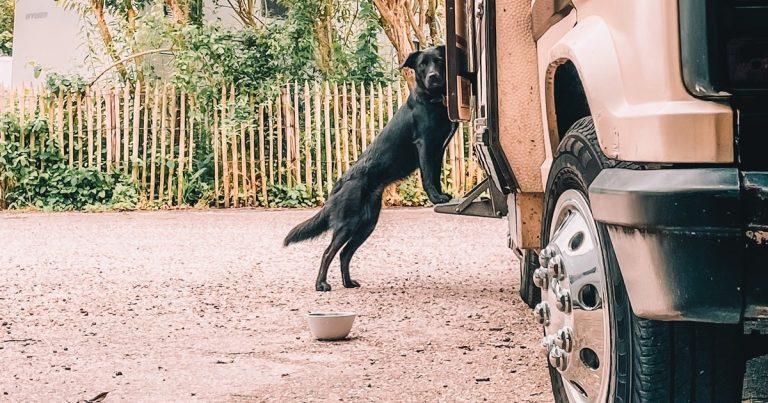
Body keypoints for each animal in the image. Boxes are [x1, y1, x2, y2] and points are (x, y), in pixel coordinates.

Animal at [284, 46, 460, 294]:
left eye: (439, 61)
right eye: (422, 65)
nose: (433, 77)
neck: (431, 98)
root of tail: (337, 187)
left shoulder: (438, 150)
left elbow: (435, 174)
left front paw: (442, 194)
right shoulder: (424, 144)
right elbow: (427, 176)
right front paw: (436, 197)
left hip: (366, 224)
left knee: (345, 254)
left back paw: (348, 283)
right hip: (347, 225)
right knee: (329, 252)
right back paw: (321, 284)